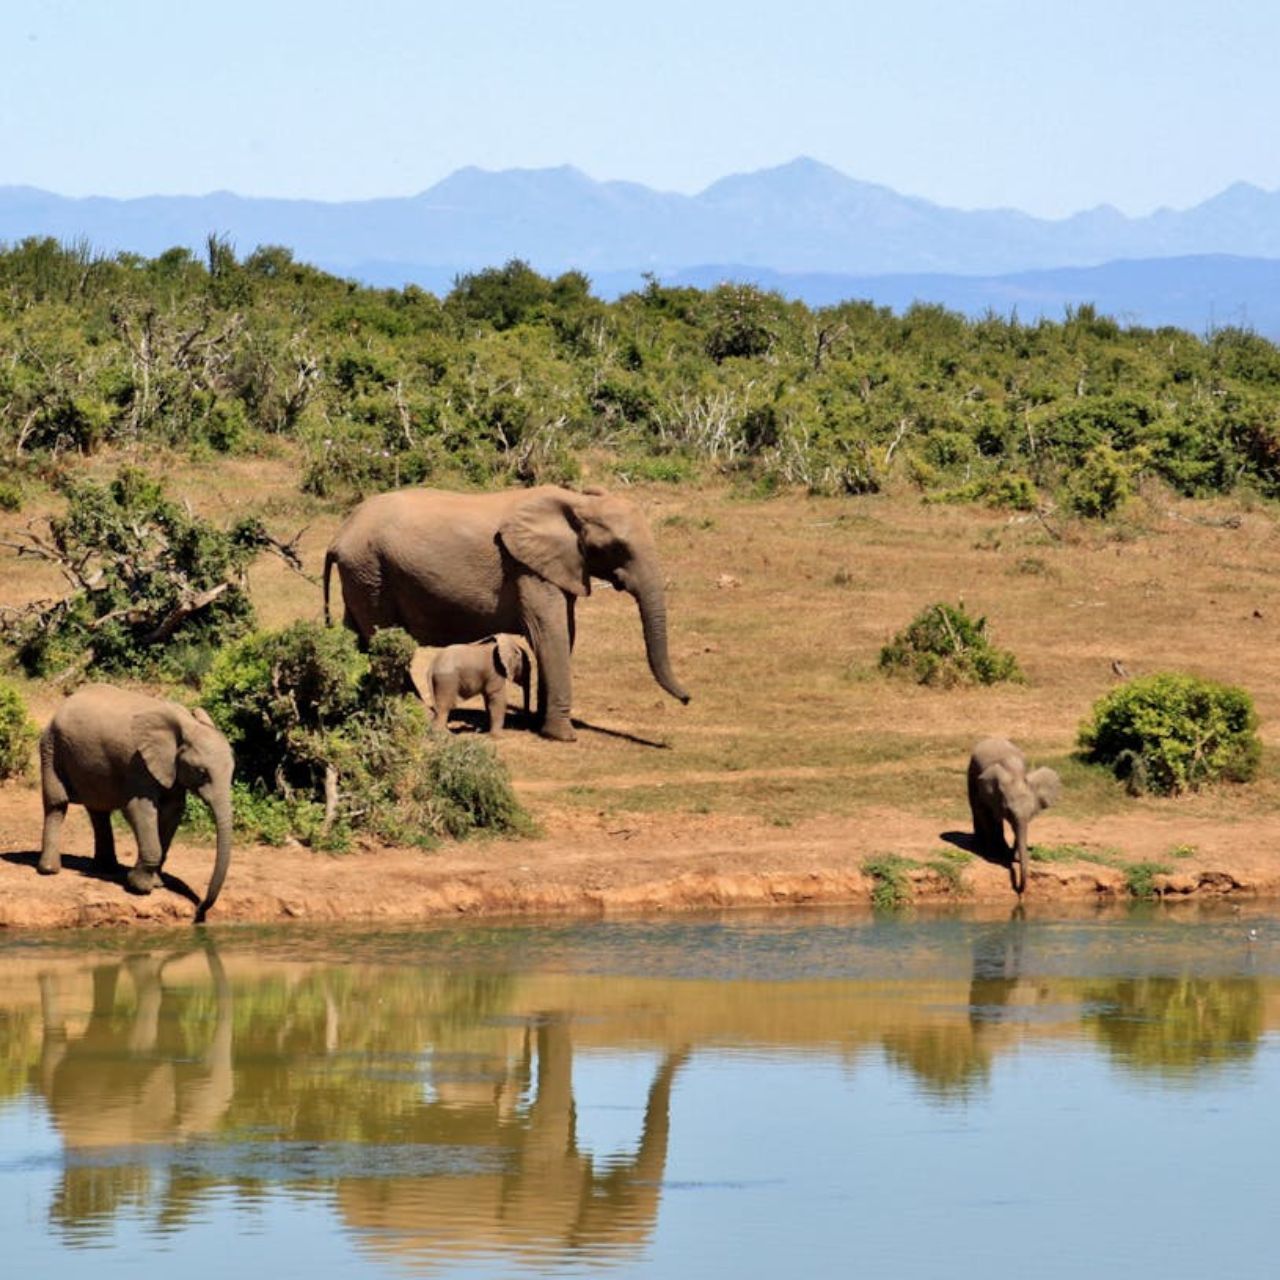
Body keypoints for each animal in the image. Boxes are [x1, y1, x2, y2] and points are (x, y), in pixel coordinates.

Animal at [39, 686, 235, 926]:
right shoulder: (139, 763)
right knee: (57, 804)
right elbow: (139, 809)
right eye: (202, 773)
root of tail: (62, 705)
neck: (186, 726)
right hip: (51, 747)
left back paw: (107, 868)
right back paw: (49, 871)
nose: (199, 912)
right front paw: (139, 887)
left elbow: (172, 811)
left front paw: (157, 883)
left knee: (98, 810)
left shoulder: (170, 768)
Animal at [327, 481, 691, 747]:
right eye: (618, 548)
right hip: (371, 570)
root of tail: (339, 534)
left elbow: (564, 633)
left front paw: (542, 725)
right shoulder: (526, 569)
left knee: (357, 636)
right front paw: (563, 736)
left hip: (362, 575)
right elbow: (550, 634)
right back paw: (416, 712)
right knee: (384, 638)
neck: (576, 503)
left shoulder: (557, 567)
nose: (687, 699)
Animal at [967, 737, 1059, 896]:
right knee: (977, 810)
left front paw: (1012, 857)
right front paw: (994, 855)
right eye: (1008, 811)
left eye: (1031, 813)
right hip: (970, 772)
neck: (1015, 774)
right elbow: (985, 813)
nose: (1020, 890)